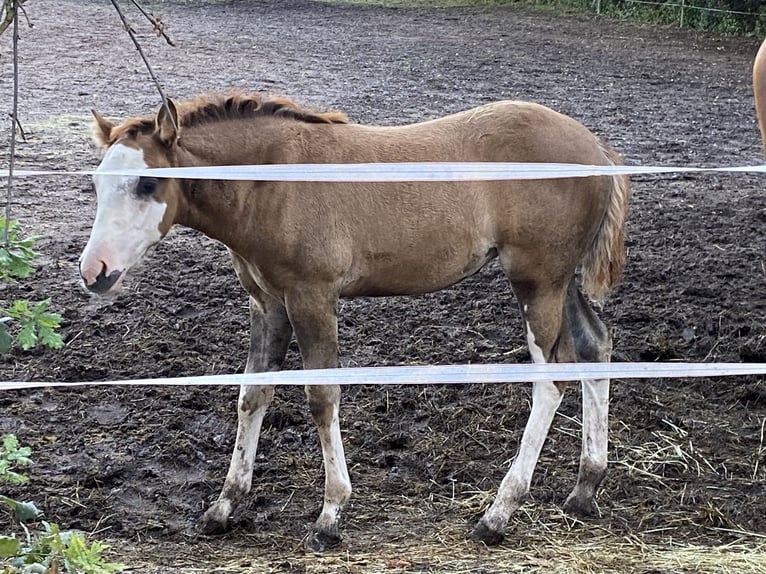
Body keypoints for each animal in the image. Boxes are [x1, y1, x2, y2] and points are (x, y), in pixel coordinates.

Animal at [79, 91, 631, 550]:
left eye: (147, 182)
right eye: (97, 184)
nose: (95, 272)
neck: (273, 182)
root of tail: (596, 148)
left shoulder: (312, 297)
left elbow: (322, 398)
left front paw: (330, 516)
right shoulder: (267, 303)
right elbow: (252, 394)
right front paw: (224, 506)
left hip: (537, 280)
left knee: (551, 378)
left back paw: (497, 515)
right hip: (561, 281)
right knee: (594, 345)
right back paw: (585, 488)